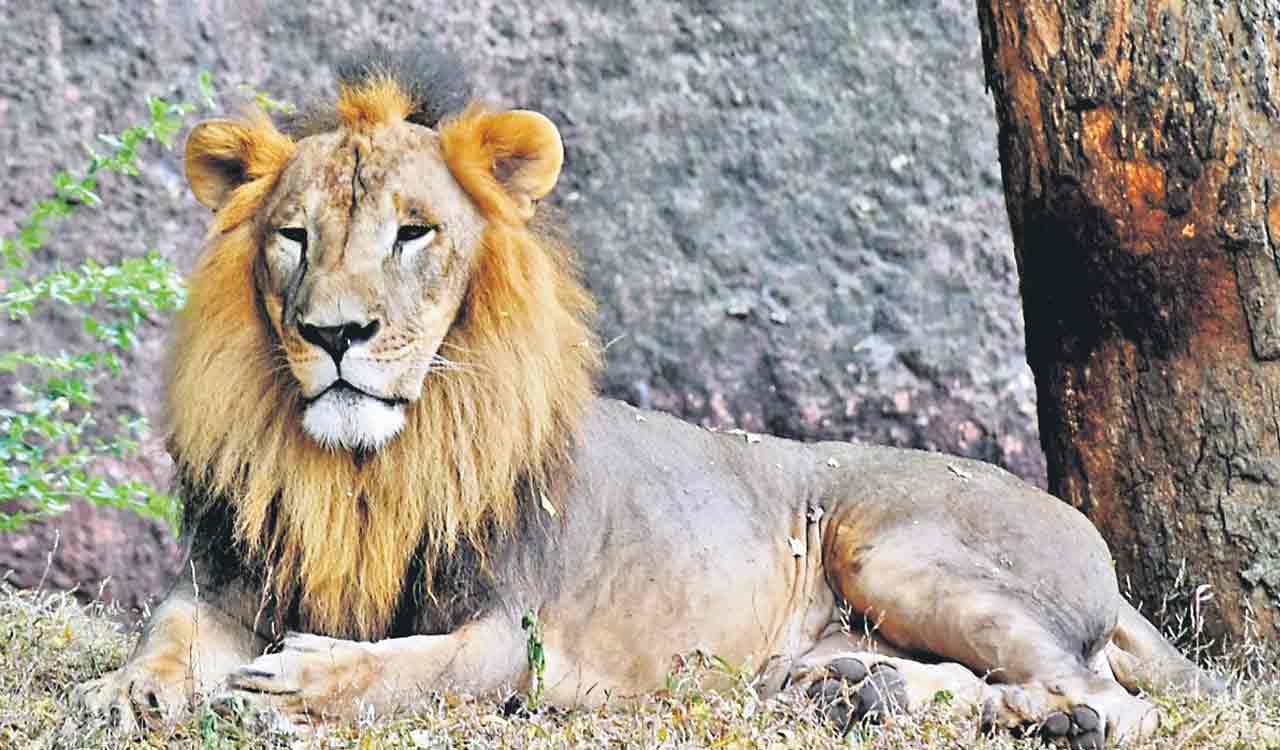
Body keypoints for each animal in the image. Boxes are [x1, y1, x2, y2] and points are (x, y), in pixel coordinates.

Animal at [73, 47, 1221, 747]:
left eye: (413, 231)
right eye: (292, 235)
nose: (334, 335)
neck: (365, 469)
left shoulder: (521, 634)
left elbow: (419, 669)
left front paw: (300, 681)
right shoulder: (227, 582)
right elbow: (168, 628)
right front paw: (123, 691)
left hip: (892, 545)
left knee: (1110, 703)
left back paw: (1036, 717)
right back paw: (859, 689)